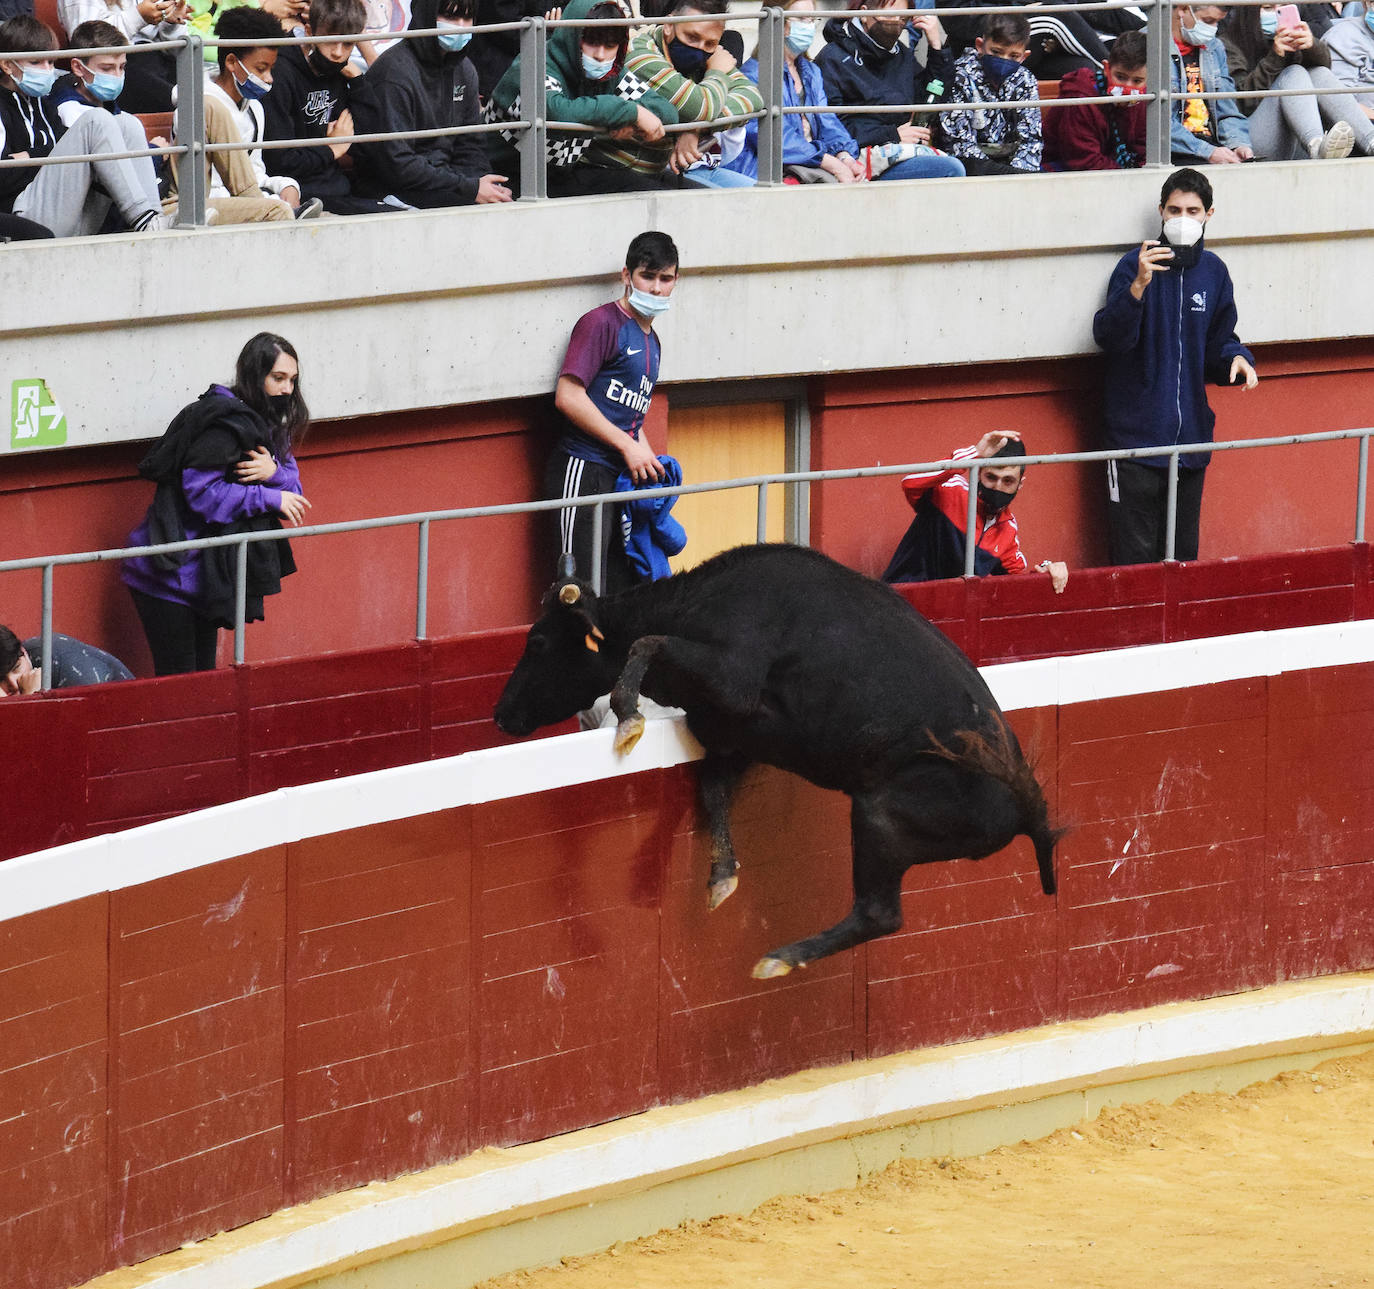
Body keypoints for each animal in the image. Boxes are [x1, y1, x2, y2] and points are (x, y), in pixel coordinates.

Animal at [494, 541, 1060, 972]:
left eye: (538, 642)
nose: (501, 714)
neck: (702, 603)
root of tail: (1026, 807)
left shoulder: (733, 682)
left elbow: (649, 642)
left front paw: (628, 716)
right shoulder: (737, 733)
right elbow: (712, 789)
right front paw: (722, 877)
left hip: (880, 814)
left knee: (879, 914)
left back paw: (781, 958)